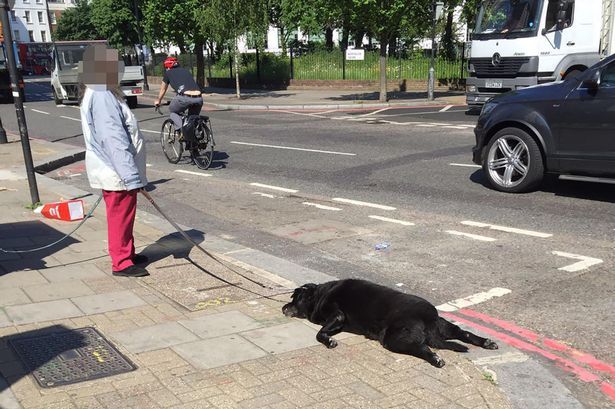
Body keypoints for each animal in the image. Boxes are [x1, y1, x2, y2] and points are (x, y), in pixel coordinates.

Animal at [284, 278, 500, 366]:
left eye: (294, 298)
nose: (283, 307)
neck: (319, 295)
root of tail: (427, 319)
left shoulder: (337, 315)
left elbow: (320, 332)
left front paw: (328, 340)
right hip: (443, 325)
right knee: (464, 333)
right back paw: (486, 342)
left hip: (394, 338)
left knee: (422, 348)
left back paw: (434, 359)